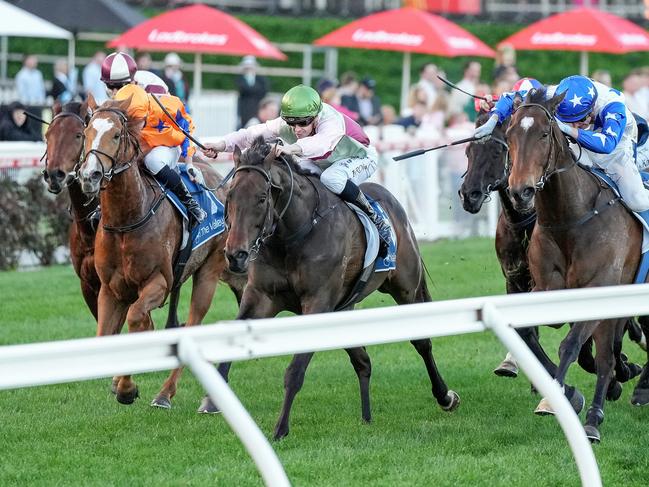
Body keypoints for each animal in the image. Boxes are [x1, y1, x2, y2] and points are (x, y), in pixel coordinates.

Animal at [77, 97, 244, 410]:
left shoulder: (158, 282)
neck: (127, 219)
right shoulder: (111, 289)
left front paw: (127, 388)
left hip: (209, 270)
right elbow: (106, 333)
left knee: (192, 323)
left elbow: (135, 318)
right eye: (86, 133)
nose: (89, 176)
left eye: (115, 135)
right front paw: (119, 382)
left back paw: (165, 393)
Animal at [215, 138, 458, 442]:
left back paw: (444, 396)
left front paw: (281, 428)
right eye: (230, 196)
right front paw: (212, 403)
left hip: (406, 289)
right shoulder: (261, 297)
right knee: (363, 360)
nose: (235, 255)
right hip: (344, 306)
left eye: (261, 198)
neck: (292, 234)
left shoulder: (317, 303)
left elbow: (295, 370)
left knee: (422, 342)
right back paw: (366, 416)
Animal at [506, 87, 644, 442]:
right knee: (607, 356)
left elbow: (569, 345)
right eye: (509, 135)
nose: (520, 191)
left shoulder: (598, 287)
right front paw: (571, 395)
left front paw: (553, 399)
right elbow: (527, 333)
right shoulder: (545, 287)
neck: (570, 219)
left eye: (544, 134)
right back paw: (598, 412)